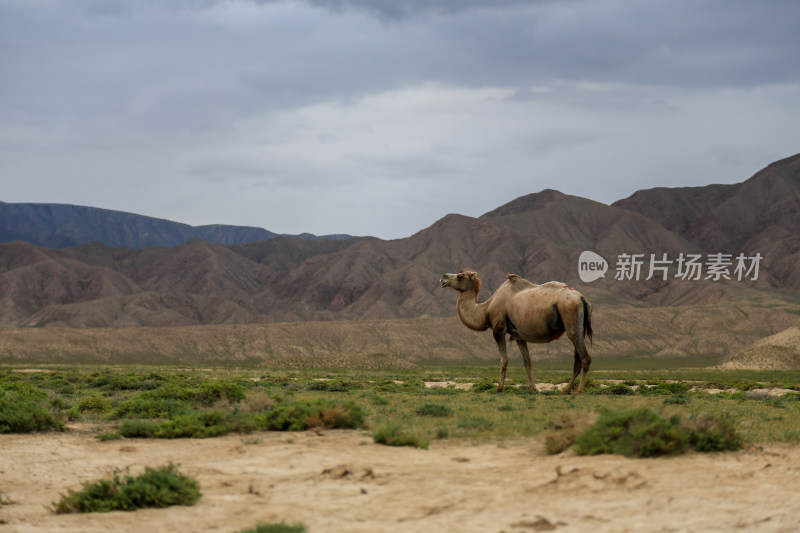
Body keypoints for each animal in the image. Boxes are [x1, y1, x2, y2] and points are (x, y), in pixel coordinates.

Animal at [438, 270, 592, 390]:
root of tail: (582, 298)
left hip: (571, 322)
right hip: (579, 329)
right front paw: (534, 389)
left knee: (585, 358)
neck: (486, 310)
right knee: (577, 359)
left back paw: (577, 390)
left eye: (460, 276)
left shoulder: (498, 330)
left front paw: (499, 388)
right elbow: (527, 361)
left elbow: (503, 360)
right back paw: (566, 390)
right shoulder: (519, 336)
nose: (443, 277)